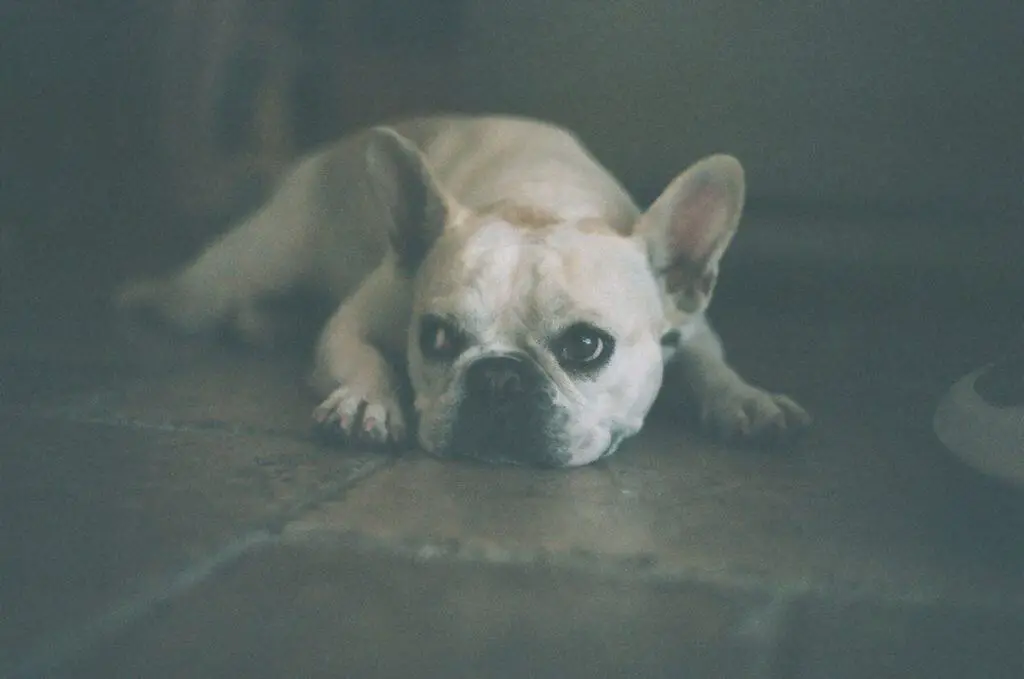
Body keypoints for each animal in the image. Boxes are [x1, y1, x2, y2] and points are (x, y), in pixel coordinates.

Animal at [117, 115, 806, 467]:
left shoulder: (691, 324)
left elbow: (709, 364)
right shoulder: (355, 321)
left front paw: (747, 401)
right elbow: (363, 356)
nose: (499, 377)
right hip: (240, 267)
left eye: (587, 346)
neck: (538, 199)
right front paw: (366, 403)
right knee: (197, 296)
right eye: (437, 338)